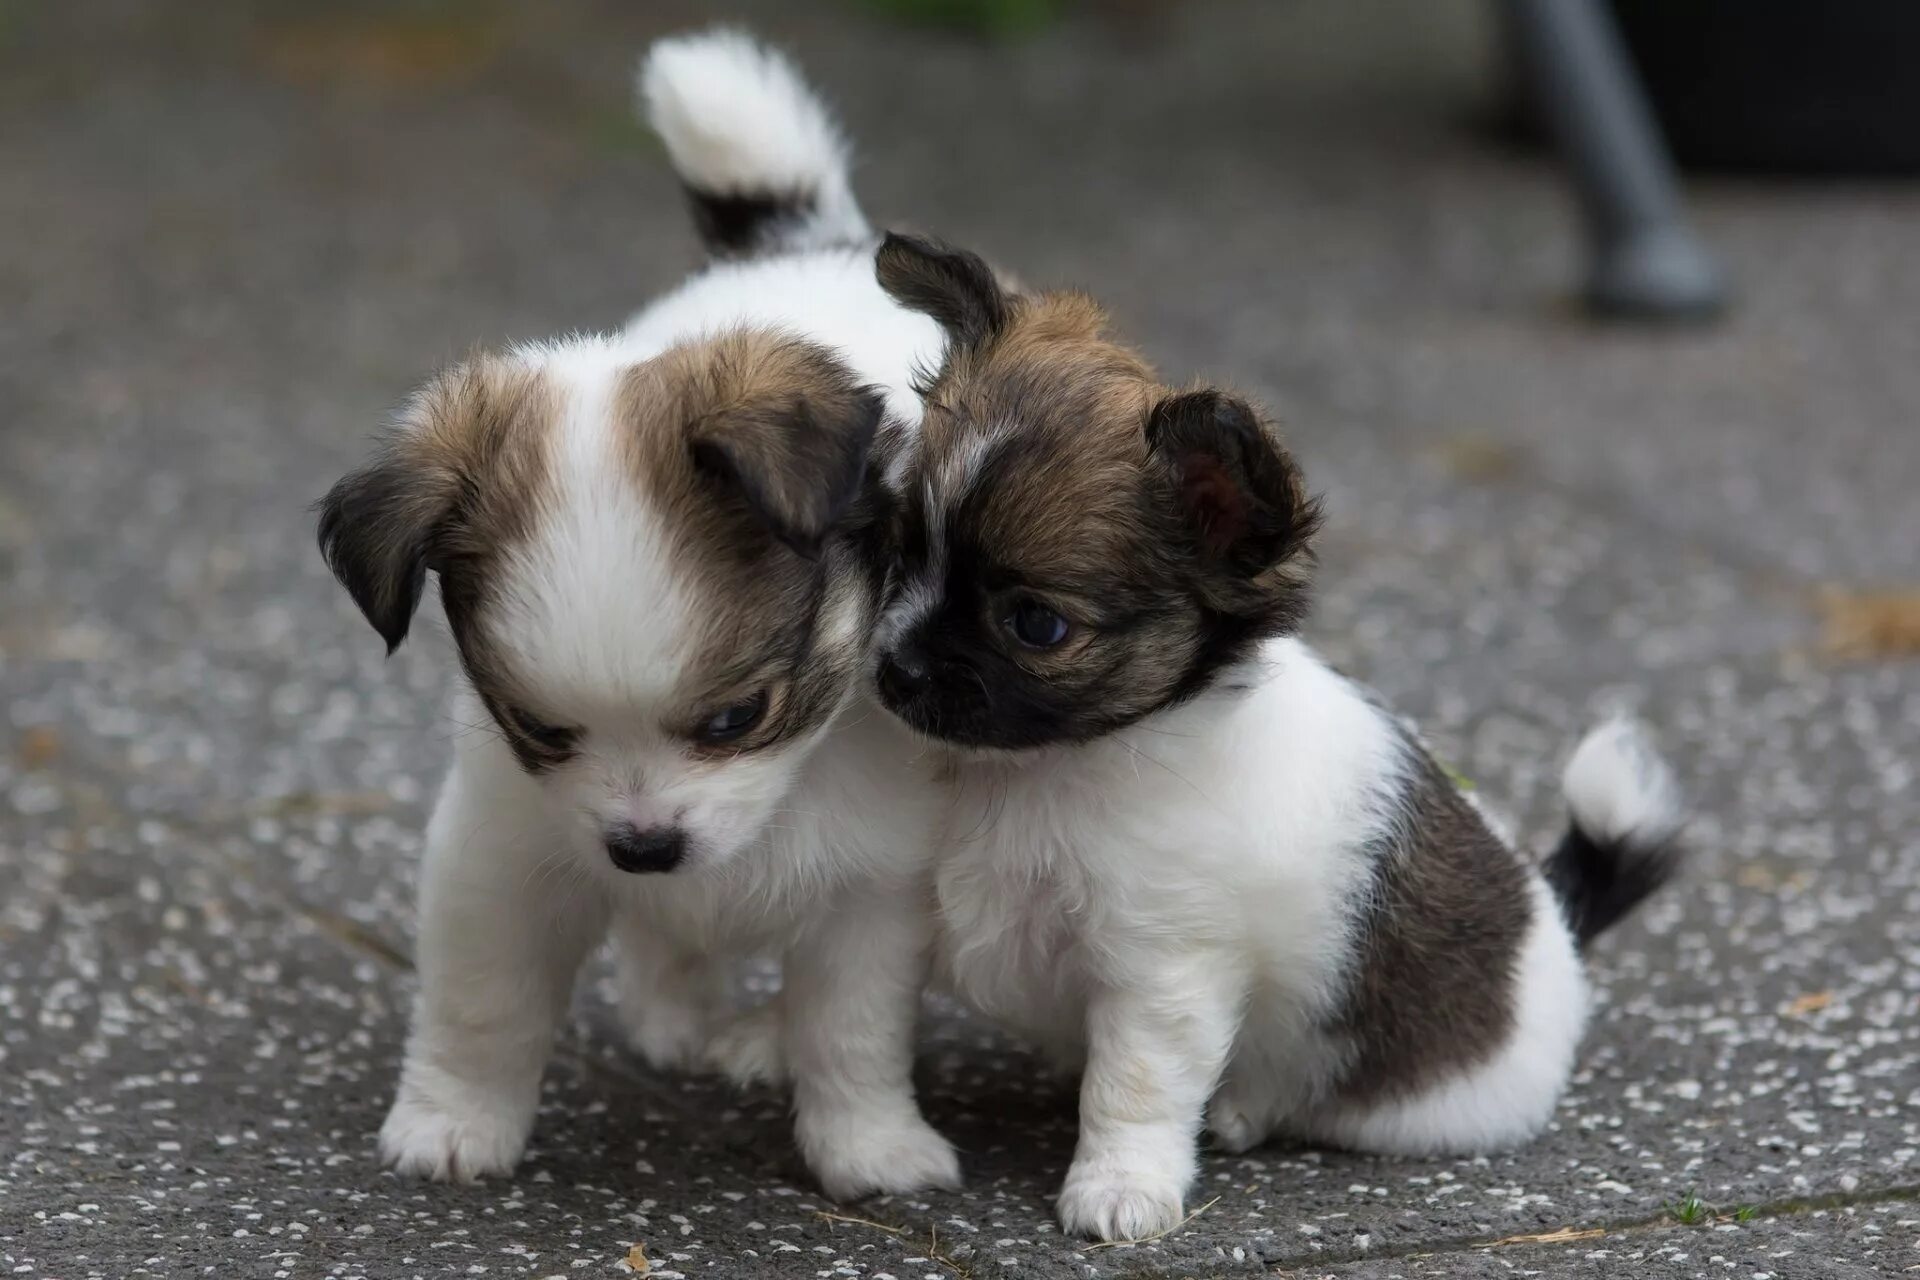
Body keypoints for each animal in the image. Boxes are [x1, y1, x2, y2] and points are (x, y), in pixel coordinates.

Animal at [320, 32, 967, 1205]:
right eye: (539, 729)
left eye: (736, 718)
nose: (644, 845)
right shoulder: (500, 858)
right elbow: (483, 1008)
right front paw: (453, 1123)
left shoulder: (872, 895)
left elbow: (850, 1032)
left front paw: (869, 1147)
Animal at [864, 233, 1689, 1243]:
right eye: (901, 551)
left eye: (1035, 625)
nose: (894, 670)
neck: (1032, 775)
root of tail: (1558, 927)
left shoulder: (1161, 972)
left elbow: (1132, 1090)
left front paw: (1119, 1188)